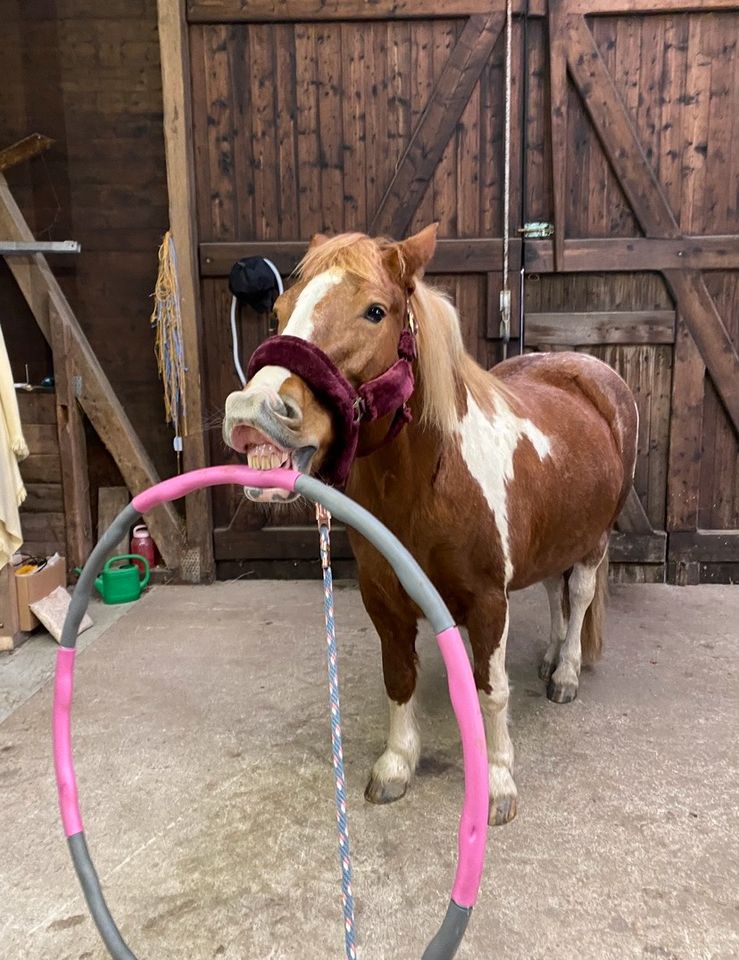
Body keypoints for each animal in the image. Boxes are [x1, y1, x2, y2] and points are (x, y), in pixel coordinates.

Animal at [223, 225, 640, 824]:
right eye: (278, 312)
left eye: (376, 311)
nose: (252, 411)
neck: (430, 485)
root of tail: (590, 373)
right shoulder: (384, 600)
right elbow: (399, 679)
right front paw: (397, 765)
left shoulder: (489, 601)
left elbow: (491, 690)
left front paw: (497, 781)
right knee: (553, 594)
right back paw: (551, 656)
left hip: (593, 542)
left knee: (578, 594)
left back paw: (565, 673)